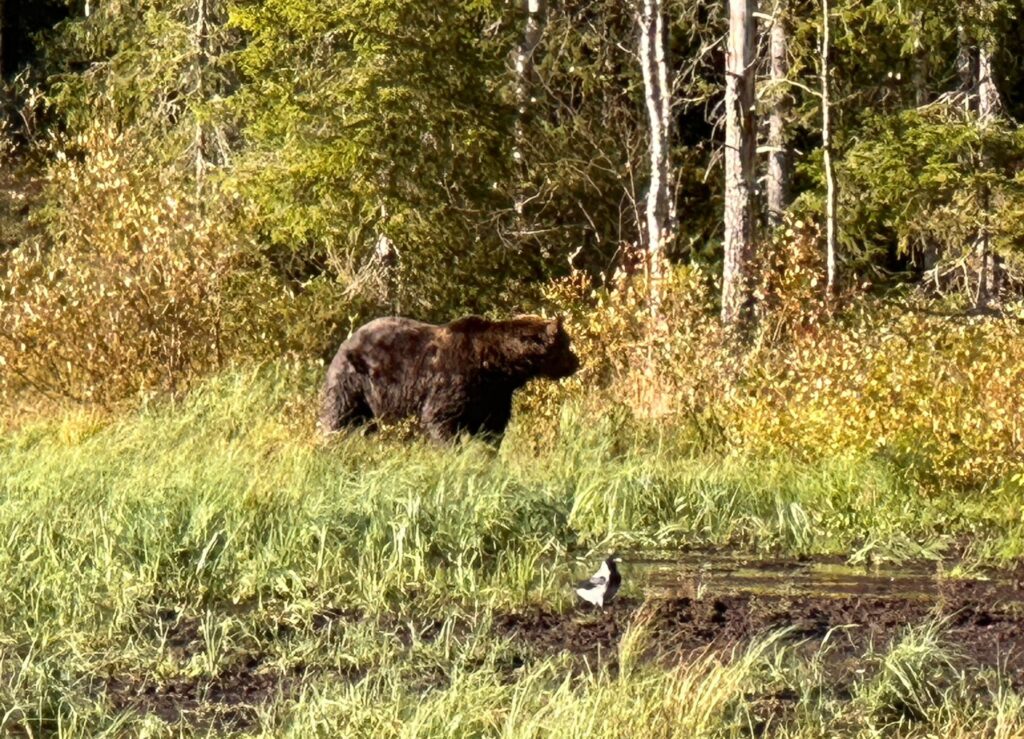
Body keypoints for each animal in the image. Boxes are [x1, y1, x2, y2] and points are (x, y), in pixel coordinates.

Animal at [318, 314, 580, 442]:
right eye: (567, 344)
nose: (576, 362)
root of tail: (346, 341)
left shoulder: (494, 396)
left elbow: (492, 429)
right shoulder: (453, 381)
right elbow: (439, 418)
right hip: (353, 381)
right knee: (338, 415)